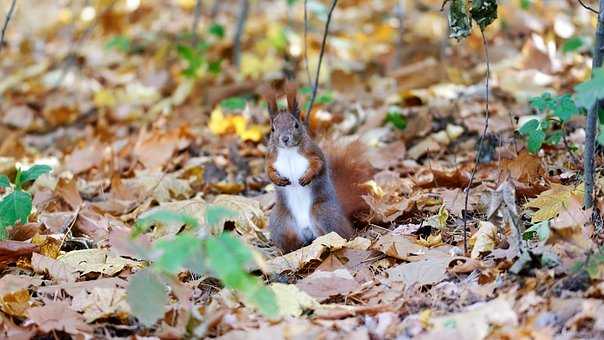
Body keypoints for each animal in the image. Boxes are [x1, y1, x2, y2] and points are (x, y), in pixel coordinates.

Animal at [264, 82, 372, 252]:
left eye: (296, 125)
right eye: (272, 129)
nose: (285, 138)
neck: (288, 151)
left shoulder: (313, 153)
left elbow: (318, 165)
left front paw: (306, 178)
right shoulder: (271, 159)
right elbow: (268, 171)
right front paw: (277, 180)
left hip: (322, 212)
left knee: (340, 234)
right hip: (280, 223)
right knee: (291, 240)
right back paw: (294, 248)